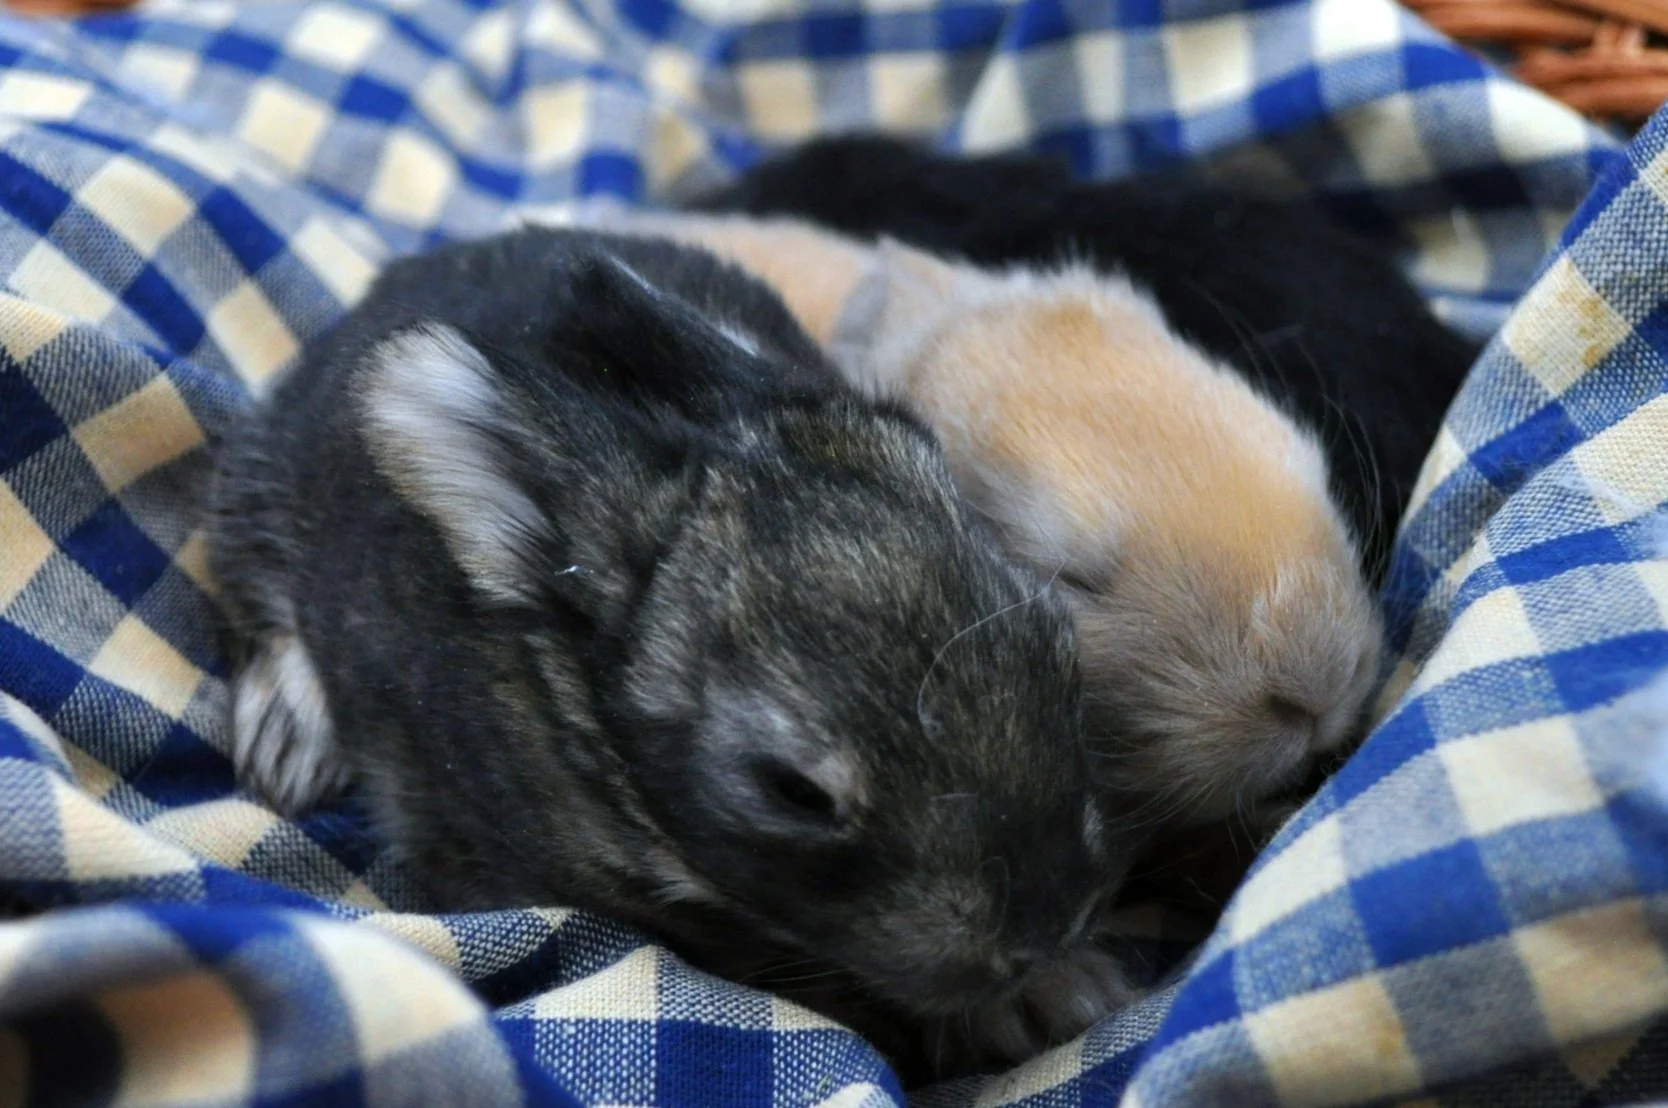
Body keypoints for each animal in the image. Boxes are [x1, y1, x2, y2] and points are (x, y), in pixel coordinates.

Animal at [208, 226, 1139, 1084]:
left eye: (1054, 642)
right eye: (794, 791)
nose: (1050, 924)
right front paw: (1049, 999)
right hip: (259, 485)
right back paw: (286, 744)